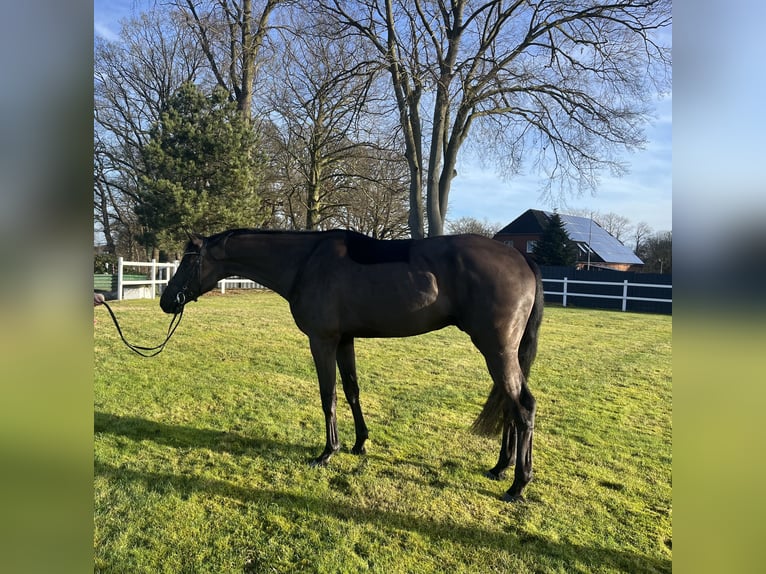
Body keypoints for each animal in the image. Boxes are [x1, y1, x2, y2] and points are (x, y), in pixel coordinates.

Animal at [159, 230, 544, 504]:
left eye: (188, 262)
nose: (166, 301)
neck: (306, 262)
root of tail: (521, 258)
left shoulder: (323, 341)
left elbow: (327, 394)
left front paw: (328, 451)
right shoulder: (345, 340)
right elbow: (351, 390)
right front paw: (360, 443)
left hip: (496, 350)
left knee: (522, 406)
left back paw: (518, 484)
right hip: (502, 353)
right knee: (510, 407)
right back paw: (500, 467)